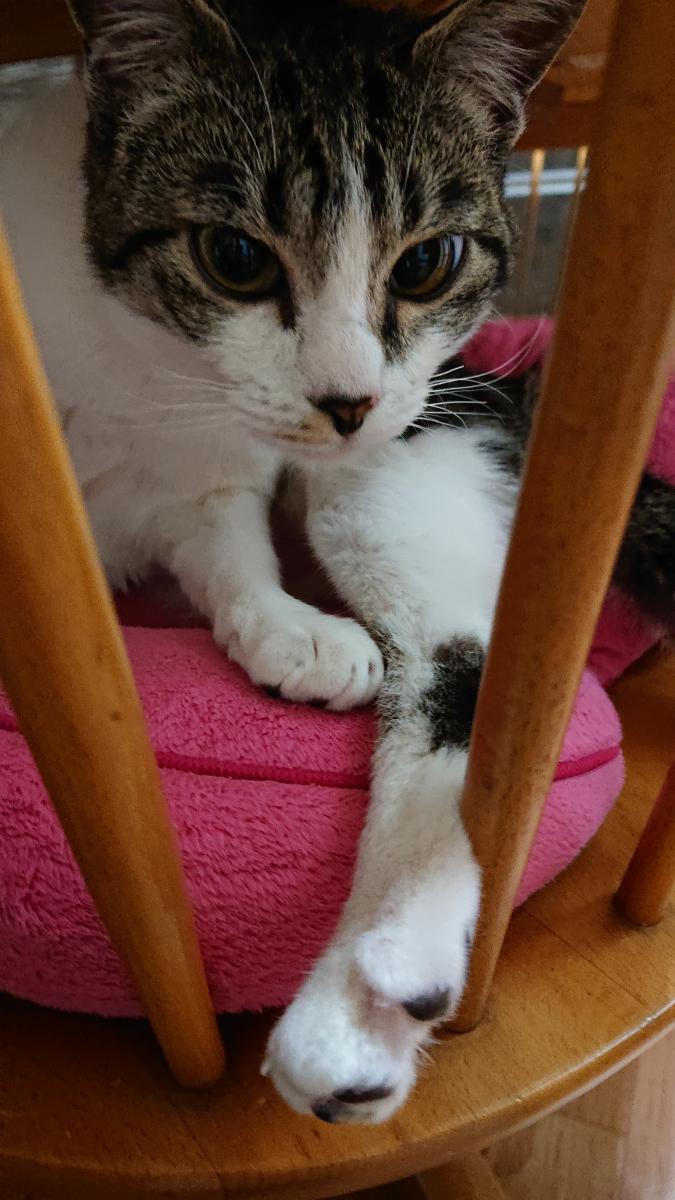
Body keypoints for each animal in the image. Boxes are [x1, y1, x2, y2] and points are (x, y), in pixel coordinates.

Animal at [1, 0, 674, 1126]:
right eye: (235, 254)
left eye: (427, 262)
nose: (345, 400)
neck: (143, 364)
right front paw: (289, 631)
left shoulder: (221, 471)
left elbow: (225, 541)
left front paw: (290, 627)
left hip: (394, 466)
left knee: (461, 666)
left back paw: (368, 994)